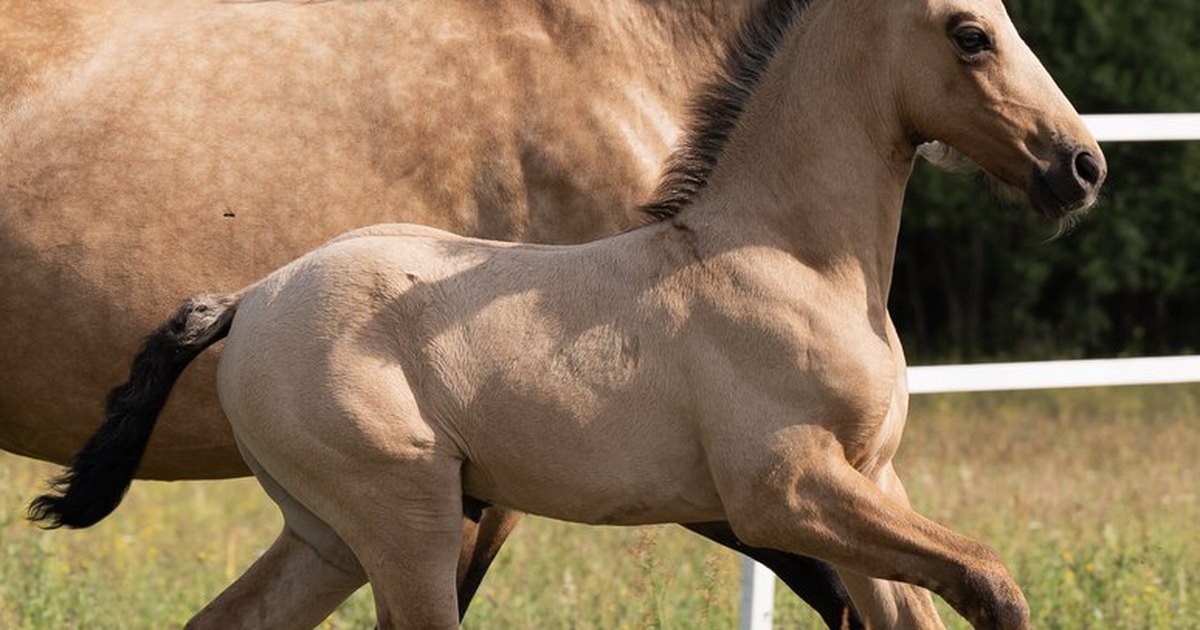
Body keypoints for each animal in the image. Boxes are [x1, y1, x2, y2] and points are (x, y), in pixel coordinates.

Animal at [35, 0, 1104, 624]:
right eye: (971, 32)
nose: (1080, 166)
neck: (793, 257)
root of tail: (250, 298)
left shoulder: (870, 483)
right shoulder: (785, 492)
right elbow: (989, 577)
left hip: (326, 535)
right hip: (408, 523)